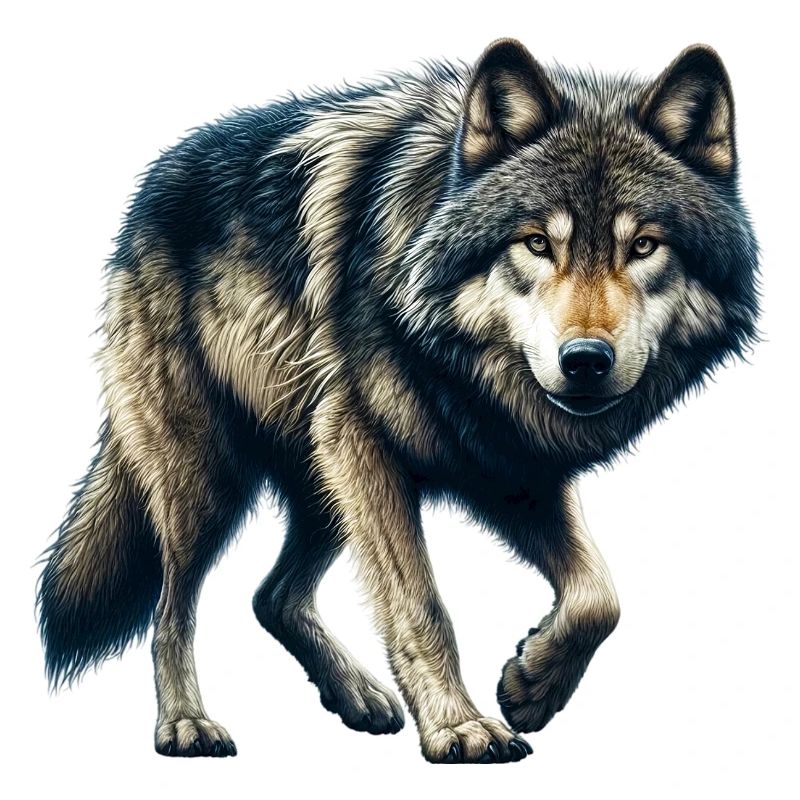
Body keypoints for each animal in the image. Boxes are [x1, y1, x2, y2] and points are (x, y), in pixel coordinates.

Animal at [37, 38, 759, 763]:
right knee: (170, 608)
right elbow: (420, 605)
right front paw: (459, 727)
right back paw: (186, 723)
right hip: (214, 480)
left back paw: (355, 694)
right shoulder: (367, 444)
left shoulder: (508, 468)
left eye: (643, 246)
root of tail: (150, 186)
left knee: (272, 597)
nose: (585, 361)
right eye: (536, 243)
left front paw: (533, 686)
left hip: (323, 481)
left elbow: (600, 597)